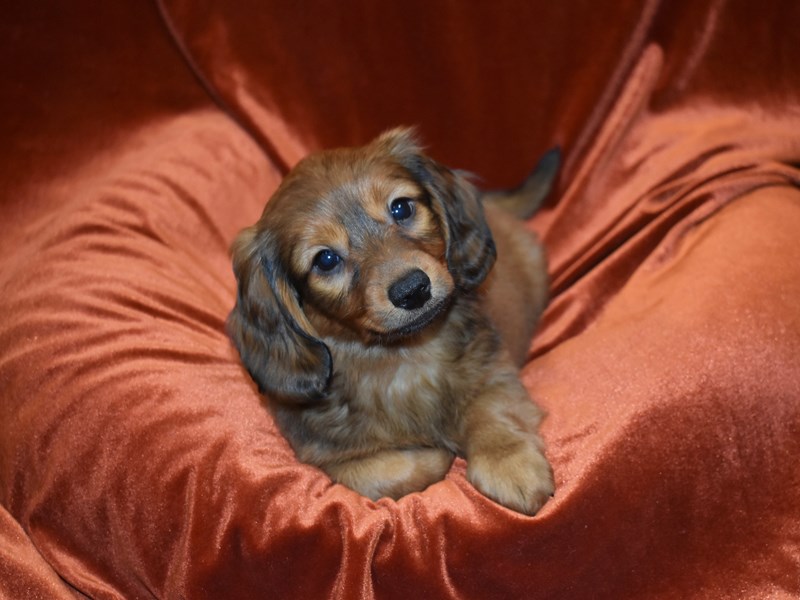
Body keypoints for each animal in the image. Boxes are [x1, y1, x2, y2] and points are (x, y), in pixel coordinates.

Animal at [228, 129, 556, 512]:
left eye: (401, 207)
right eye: (325, 259)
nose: (413, 290)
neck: (402, 358)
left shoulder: (494, 372)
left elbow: (491, 411)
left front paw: (509, 461)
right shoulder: (322, 452)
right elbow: (379, 474)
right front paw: (436, 453)